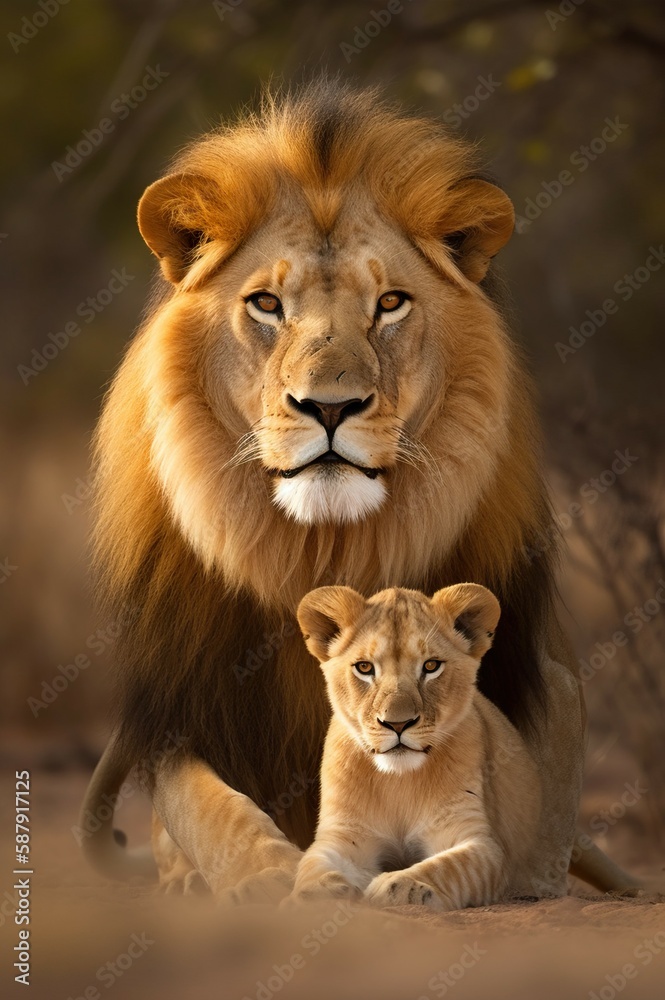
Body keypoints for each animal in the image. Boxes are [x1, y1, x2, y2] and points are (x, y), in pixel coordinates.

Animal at [80, 80, 636, 900]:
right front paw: (270, 876)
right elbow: (209, 810)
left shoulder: (541, 678)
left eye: (390, 304)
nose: (330, 406)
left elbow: (531, 790)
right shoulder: (182, 711)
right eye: (266, 305)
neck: (319, 550)